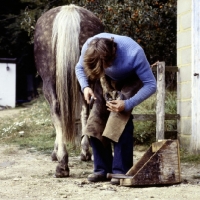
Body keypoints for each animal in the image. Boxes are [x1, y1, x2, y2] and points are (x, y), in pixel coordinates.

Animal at [33, 4, 104, 177]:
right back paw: (83, 153)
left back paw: (63, 164)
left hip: (50, 83)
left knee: (57, 110)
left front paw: (55, 152)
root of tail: (69, 11)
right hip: (88, 79)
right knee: (88, 108)